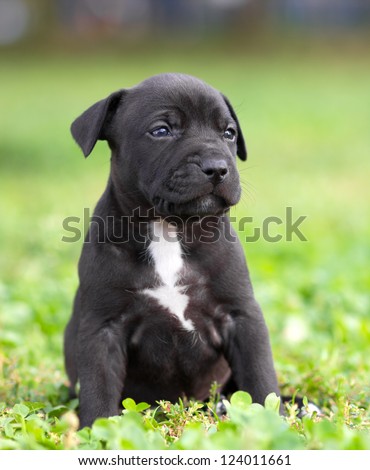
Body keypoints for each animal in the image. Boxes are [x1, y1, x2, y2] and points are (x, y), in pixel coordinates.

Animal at [66, 72, 280, 426]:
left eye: (229, 133)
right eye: (161, 131)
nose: (217, 167)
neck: (170, 228)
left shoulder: (242, 315)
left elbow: (261, 377)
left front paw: (272, 423)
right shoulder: (102, 327)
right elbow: (98, 387)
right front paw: (97, 431)